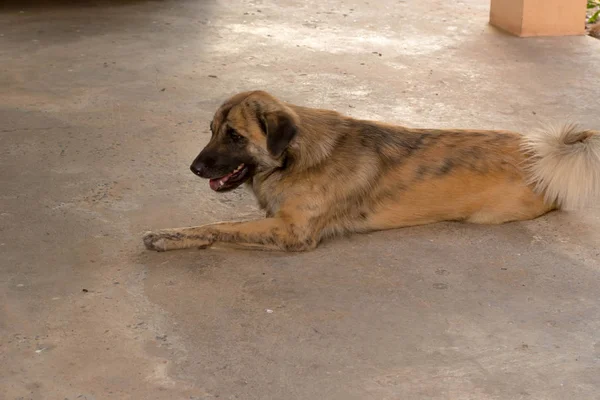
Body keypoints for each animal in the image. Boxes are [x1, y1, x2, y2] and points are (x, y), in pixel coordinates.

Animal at [144, 91, 600, 253]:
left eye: (235, 136)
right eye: (211, 131)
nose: (194, 167)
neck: (297, 156)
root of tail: (543, 154)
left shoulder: (292, 232)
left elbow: (222, 226)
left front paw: (167, 236)